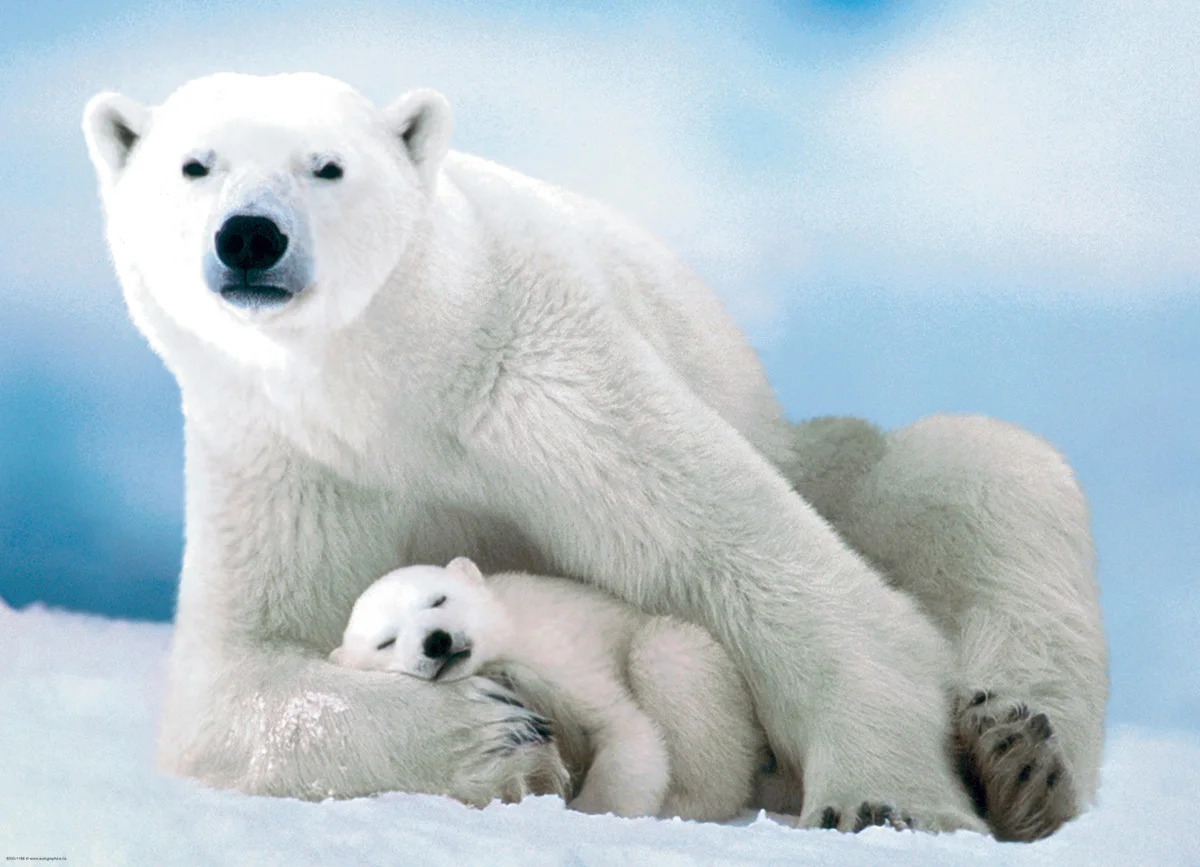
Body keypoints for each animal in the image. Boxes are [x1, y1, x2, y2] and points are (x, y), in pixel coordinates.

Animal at [330, 557, 766, 822]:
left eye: (438, 599)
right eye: (386, 641)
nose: (436, 641)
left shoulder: (555, 653)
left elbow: (624, 729)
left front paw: (590, 811)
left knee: (667, 652)